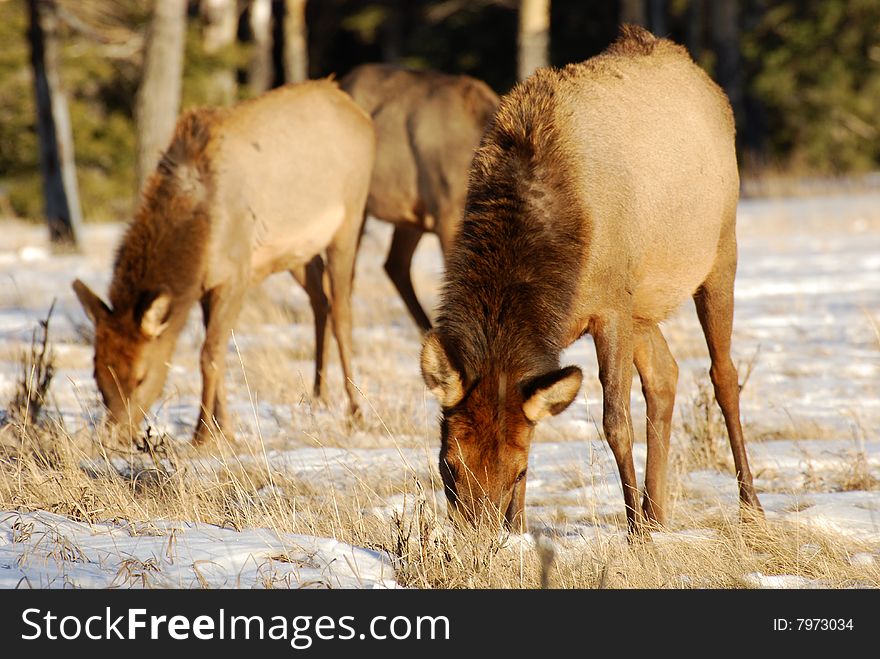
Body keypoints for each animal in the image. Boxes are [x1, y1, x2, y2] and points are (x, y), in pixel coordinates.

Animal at [69, 80, 372, 446]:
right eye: (97, 373)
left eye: (141, 377)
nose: (114, 436)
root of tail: (357, 110)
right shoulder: (207, 283)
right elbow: (219, 350)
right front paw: (222, 428)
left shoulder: (236, 273)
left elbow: (209, 354)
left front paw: (203, 434)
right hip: (299, 251)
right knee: (321, 301)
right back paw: (318, 397)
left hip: (350, 219)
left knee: (342, 311)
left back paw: (356, 412)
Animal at [422, 27, 764, 540]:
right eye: (448, 465)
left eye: (518, 472)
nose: (477, 539)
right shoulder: (585, 319)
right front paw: (521, 531)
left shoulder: (611, 308)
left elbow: (615, 422)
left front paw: (634, 532)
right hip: (644, 300)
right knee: (665, 375)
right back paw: (658, 512)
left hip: (720, 252)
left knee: (723, 376)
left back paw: (748, 507)